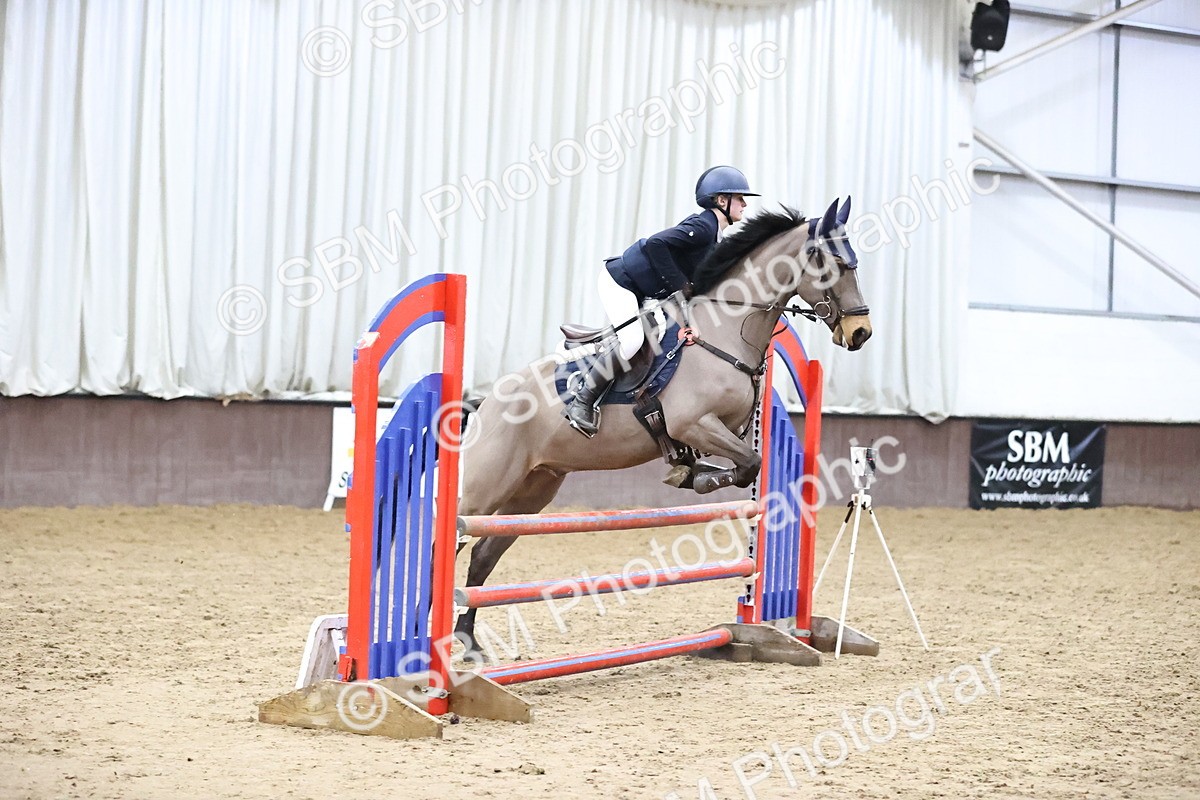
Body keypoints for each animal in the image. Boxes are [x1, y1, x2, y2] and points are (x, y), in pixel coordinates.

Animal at [454, 197, 872, 649]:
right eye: (835, 264)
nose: (861, 332)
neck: (727, 329)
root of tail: (488, 400)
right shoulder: (693, 423)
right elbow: (749, 464)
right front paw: (699, 479)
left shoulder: (727, 429)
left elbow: (747, 465)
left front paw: (691, 473)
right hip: (485, 488)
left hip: (533, 491)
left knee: (483, 553)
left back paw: (466, 639)